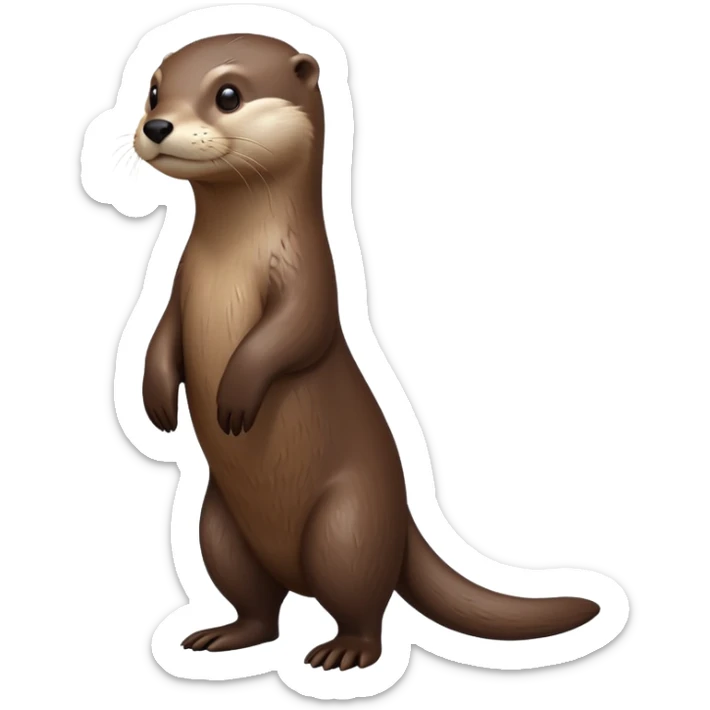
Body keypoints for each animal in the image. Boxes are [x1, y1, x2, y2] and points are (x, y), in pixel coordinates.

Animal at [134, 33, 599, 672]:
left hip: (347, 525)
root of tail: (403, 523)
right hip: (218, 527)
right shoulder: (177, 289)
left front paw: (235, 396)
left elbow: (291, 336)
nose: (156, 125)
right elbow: (160, 338)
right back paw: (225, 635)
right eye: (154, 91)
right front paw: (157, 402)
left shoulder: (311, 283)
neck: (232, 260)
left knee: (362, 602)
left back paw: (345, 651)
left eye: (228, 94)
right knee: (258, 606)